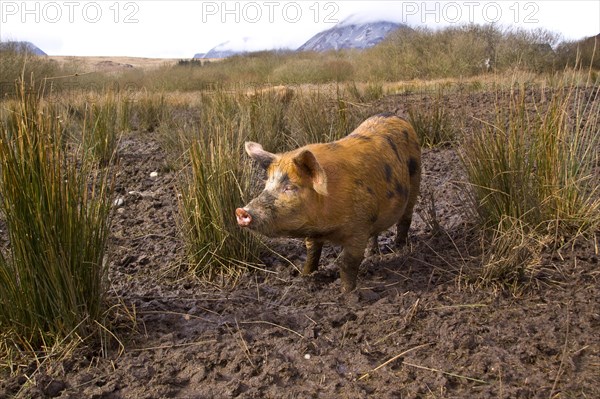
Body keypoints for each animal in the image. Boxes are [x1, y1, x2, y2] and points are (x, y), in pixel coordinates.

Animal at [236, 113, 422, 294]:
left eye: (290, 187)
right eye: (266, 185)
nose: (241, 211)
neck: (326, 227)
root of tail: (398, 117)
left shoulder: (359, 227)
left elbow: (347, 262)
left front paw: (347, 293)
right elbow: (311, 251)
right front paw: (305, 276)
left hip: (415, 180)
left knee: (406, 218)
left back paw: (399, 248)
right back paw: (372, 254)